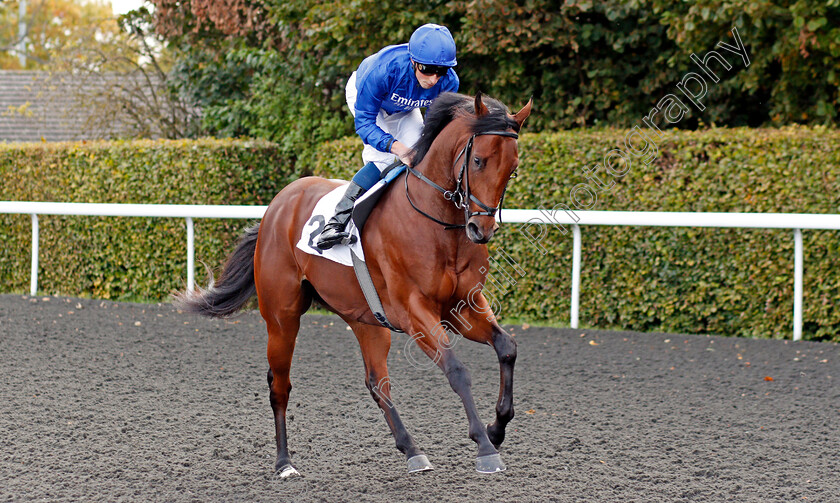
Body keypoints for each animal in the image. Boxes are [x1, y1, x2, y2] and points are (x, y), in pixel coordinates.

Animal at [177, 93, 532, 476]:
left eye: (512, 169)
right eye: (478, 160)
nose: (481, 230)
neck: (438, 226)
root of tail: (276, 206)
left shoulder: (462, 305)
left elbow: (507, 347)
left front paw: (497, 428)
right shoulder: (415, 311)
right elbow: (456, 369)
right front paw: (485, 446)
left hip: (366, 319)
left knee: (376, 383)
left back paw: (412, 450)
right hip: (281, 318)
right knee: (279, 385)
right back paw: (284, 462)